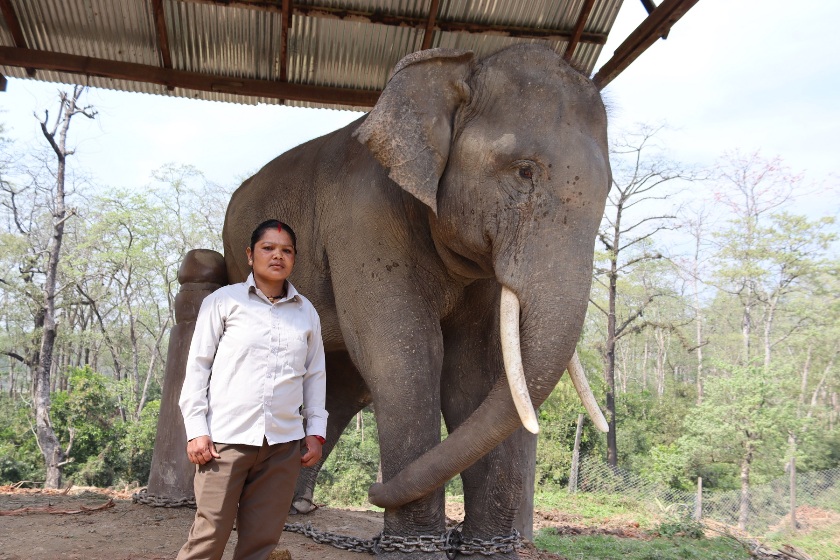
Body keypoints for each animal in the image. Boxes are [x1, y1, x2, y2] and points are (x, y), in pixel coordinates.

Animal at [217, 43, 612, 556]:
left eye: (608, 189)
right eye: (525, 171)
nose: (374, 489)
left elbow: (476, 372)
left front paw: (486, 548)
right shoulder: (362, 219)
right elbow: (406, 355)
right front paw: (416, 546)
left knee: (341, 387)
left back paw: (296, 508)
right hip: (233, 254)